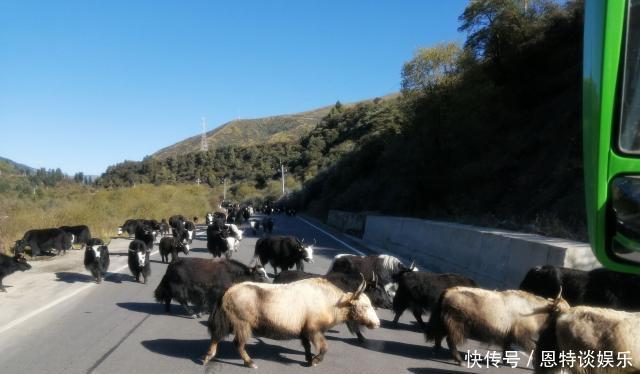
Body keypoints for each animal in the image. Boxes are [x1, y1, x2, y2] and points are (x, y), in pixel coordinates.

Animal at [202, 276, 378, 366]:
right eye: (364, 305)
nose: (377, 324)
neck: (331, 302)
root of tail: (228, 291)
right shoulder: (314, 330)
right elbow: (323, 347)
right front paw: (314, 361)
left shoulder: (304, 332)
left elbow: (307, 346)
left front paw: (308, 358)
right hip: (242, 324)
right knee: (238, 343)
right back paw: (250, 362)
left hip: (229, 322)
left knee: (216, 336)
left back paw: (207, 357)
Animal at [428, 288, 568, 364]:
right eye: (562, 311)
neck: (534, 310)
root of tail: (448, 292)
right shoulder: (522, 335)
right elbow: (533, 348)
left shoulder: (508, 335)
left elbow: (506, 348)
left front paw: (506, 362)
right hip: (457, 325)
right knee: (450, 340)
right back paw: (459, 361)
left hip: (444, 323)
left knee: (439, 336)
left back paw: (436, 351)